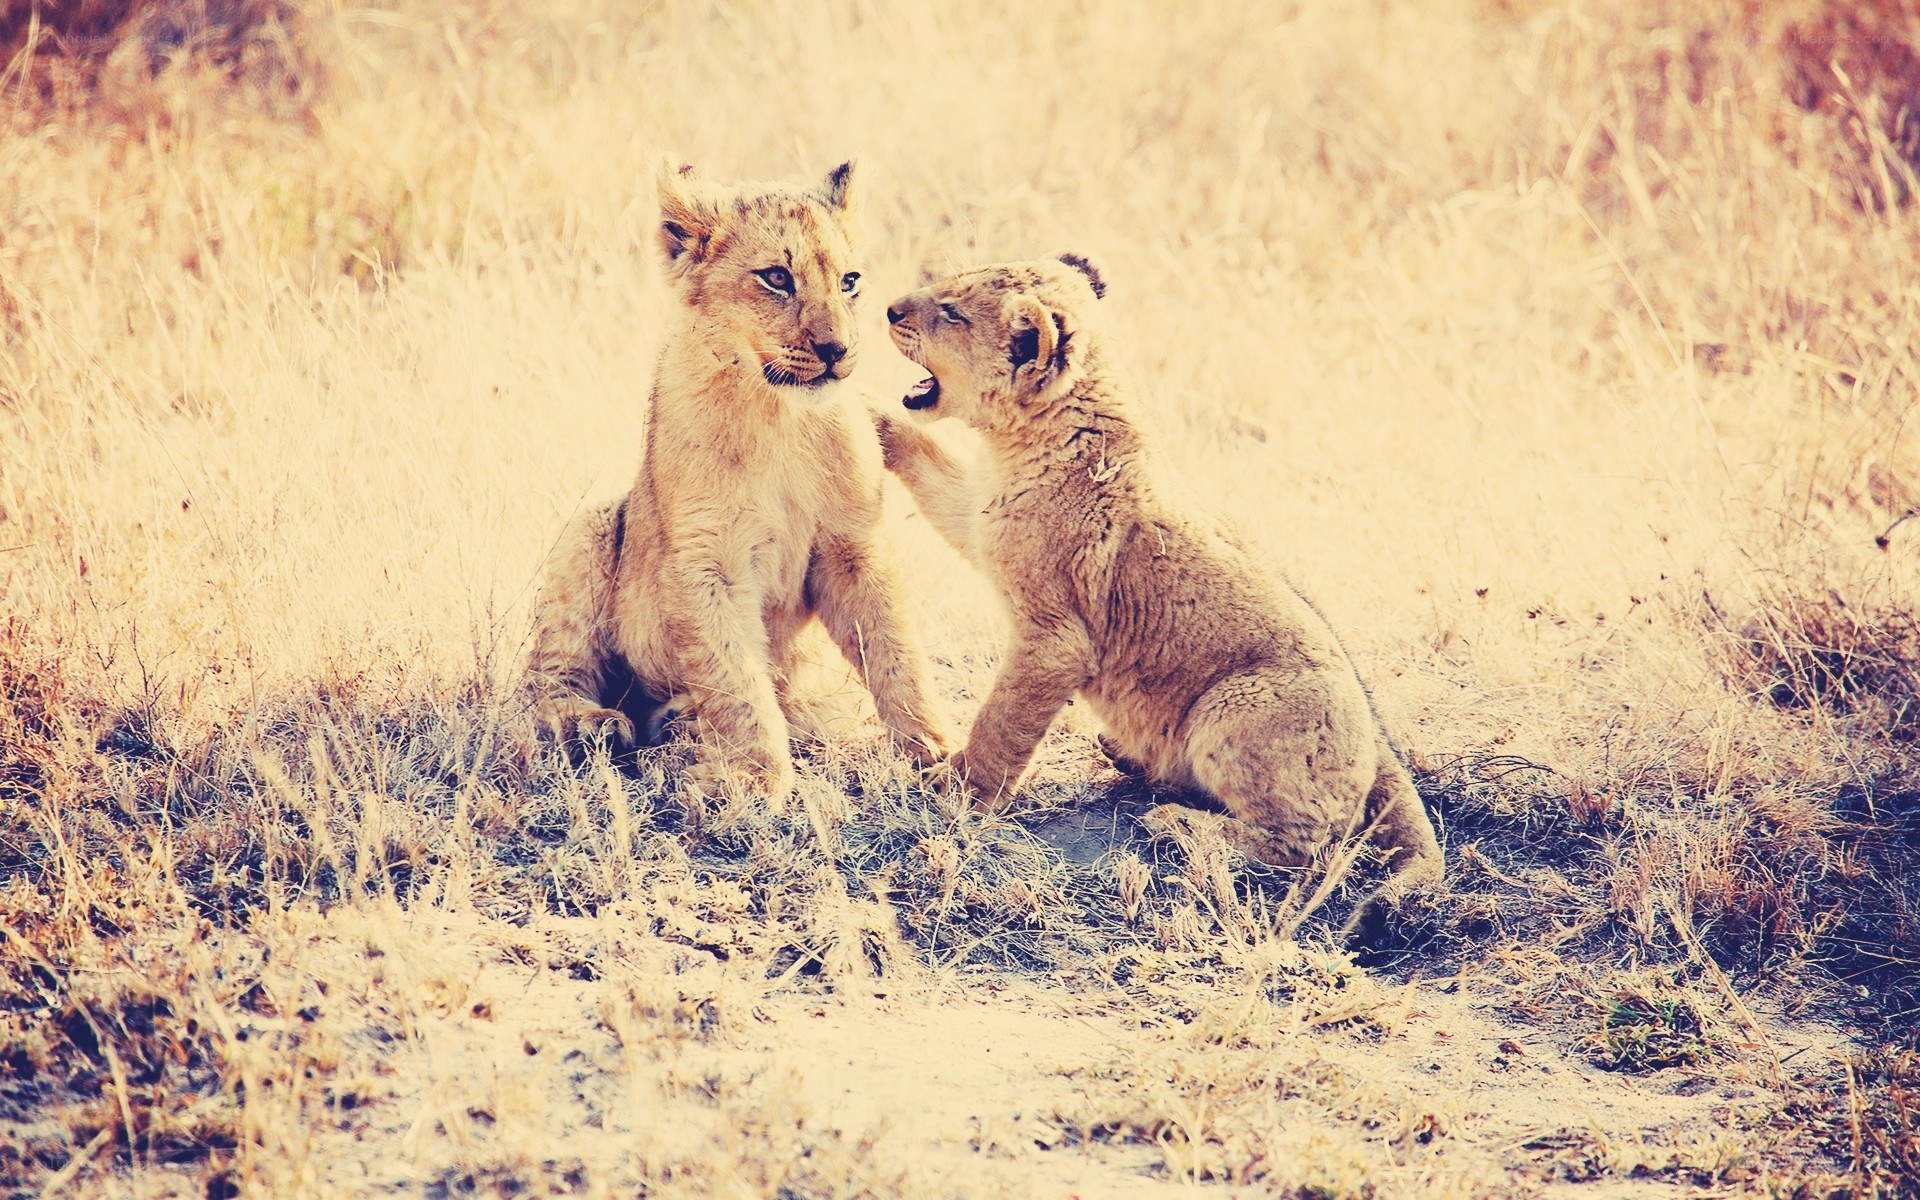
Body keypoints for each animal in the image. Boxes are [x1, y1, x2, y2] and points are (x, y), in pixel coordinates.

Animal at [521, 161, 951, 797]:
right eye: (776, 277)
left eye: (849, 281)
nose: (837, 349)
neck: (778, 416)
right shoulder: (706, 560)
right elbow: (733, 676)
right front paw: (756, 778)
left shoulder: (855, 543)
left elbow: (895, 650)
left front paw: (937, 753)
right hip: (591, 526)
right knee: (548, 678)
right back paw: (597, 725)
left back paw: (681, 725)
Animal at [874, 253, 1443, 891]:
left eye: (952, 311)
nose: (889, 309)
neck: (1022, 444)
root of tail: (1381, 747)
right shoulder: (977, 515)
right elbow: (928, 466)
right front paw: (866, 416)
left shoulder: (1055, 639)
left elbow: (1001, 724)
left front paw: (957, 791)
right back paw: (1131, 758)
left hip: (1235, 708)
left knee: (1310, 849)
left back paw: (1175, 824)